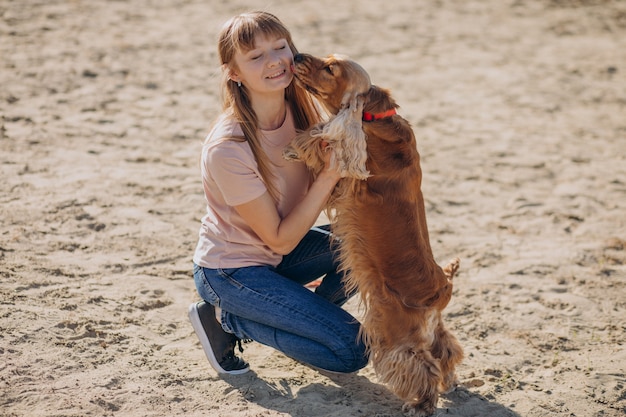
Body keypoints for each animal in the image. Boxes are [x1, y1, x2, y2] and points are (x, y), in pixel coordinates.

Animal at [286, 52, 460, 416]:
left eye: (330, 69)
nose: (295, 55)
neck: (373, 115)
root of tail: (442, 289)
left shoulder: (342, 182)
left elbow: (319, 144)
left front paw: (296, 147)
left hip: (396, 333)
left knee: (421, 366)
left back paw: (421, 403)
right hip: (431, 328)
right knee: (446, 349)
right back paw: (450, 382)